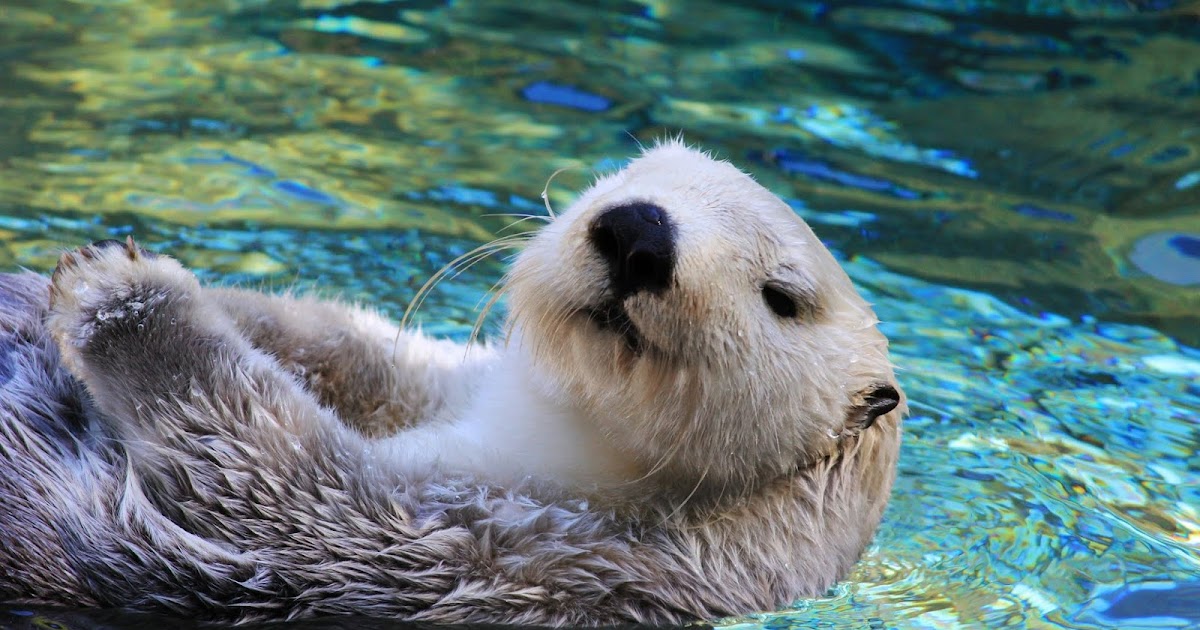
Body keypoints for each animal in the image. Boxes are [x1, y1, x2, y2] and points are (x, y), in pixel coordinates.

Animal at [0, 142, 902, 624]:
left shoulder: (517, 555)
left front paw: (125, 293)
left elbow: (265, 472)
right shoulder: (434, 382)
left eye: (782, 296)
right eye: (629, 175)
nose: (639, 230)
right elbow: (342, 342)